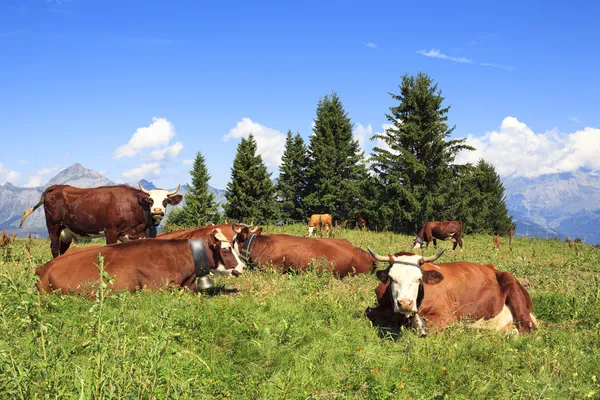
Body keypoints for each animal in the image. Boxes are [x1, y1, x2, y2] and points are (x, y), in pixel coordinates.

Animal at [19, 180, 183, 256]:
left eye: (166, 201)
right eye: (150, 200)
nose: (157, 211)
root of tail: (59, 187)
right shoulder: (110, 230)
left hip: (66, 232)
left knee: (61, 250)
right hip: (53, 226)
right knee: (54, 249)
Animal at [366, 248, 540, 336]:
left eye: (419, 279)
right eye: (392, 278)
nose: (405, 303)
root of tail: (493, 268)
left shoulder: (446, 316)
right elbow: (369, 313)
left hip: (513, 287)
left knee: (528, 328)